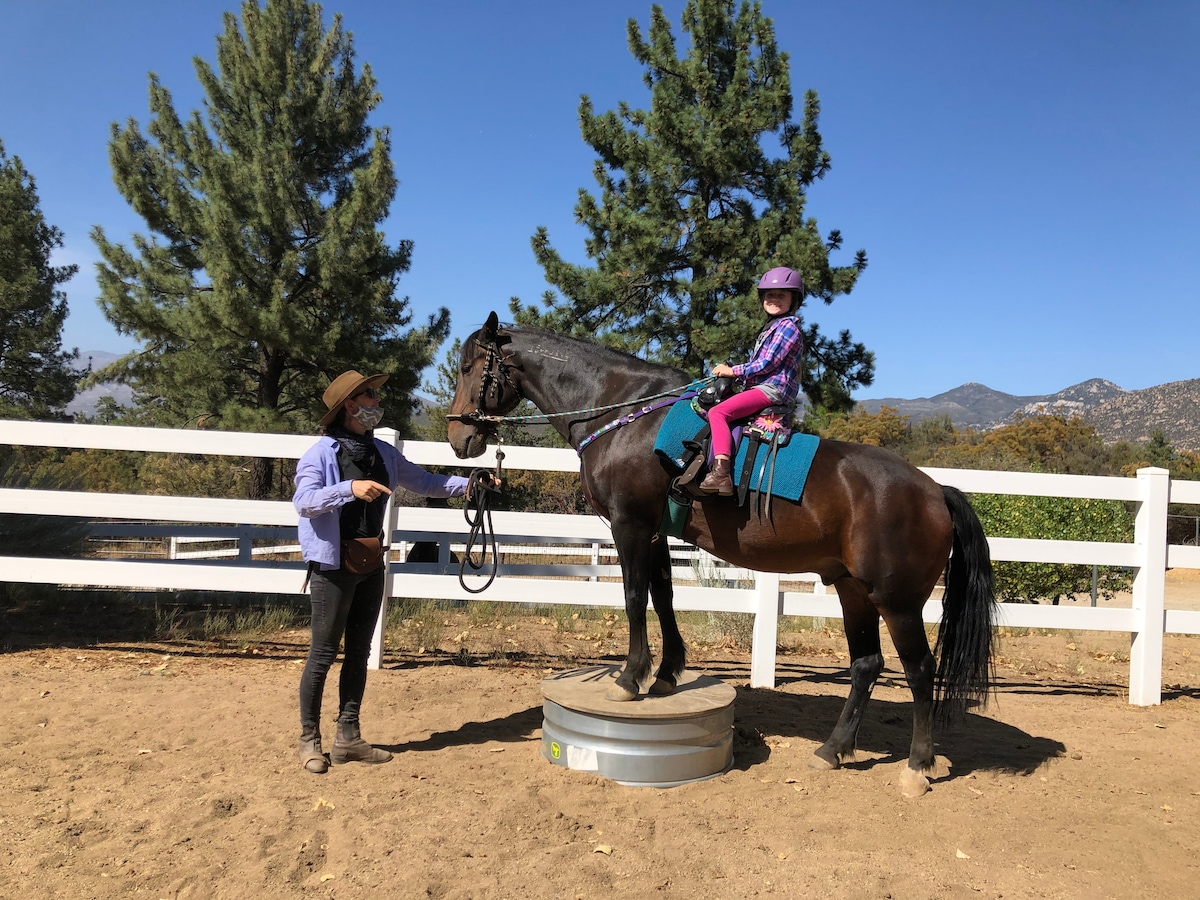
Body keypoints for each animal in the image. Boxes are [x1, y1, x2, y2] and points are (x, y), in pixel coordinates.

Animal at [447, 312, 996, 797]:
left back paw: (917, 767)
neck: (625, 414)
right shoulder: (655, 533)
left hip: (897, 601)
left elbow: (633, 599)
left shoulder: (630, 527)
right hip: (852, 590)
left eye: (470, 367)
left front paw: (629, 677)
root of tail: (934, 490)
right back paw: (833, 750)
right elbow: (664, 599)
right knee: (866, 664)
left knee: (920, 671)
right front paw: (666, 674)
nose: (458, 437)